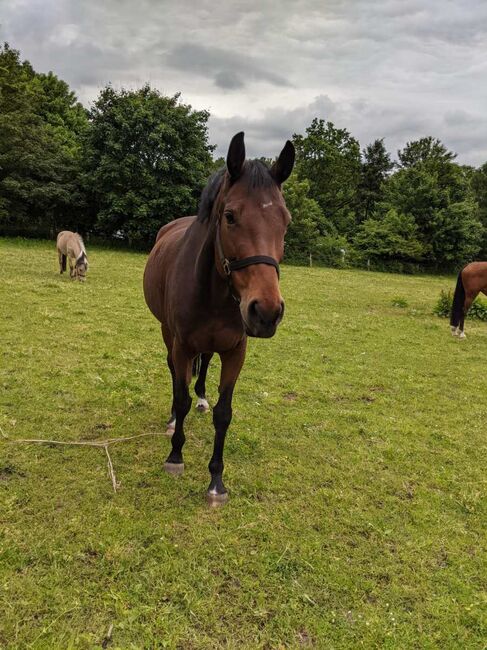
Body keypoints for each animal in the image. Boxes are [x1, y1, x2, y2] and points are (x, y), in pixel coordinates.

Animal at [141, 132, 294, 504]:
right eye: (230, 216)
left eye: (286, 221)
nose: (266, 312)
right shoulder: (182, 344)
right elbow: (179, 395)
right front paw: (175, 456)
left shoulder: (236, 351)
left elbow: (224, 414)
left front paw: (216, 481)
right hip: (167, 333)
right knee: (174, 374)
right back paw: (173, 418)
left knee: (204, 364)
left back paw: (201, 399)